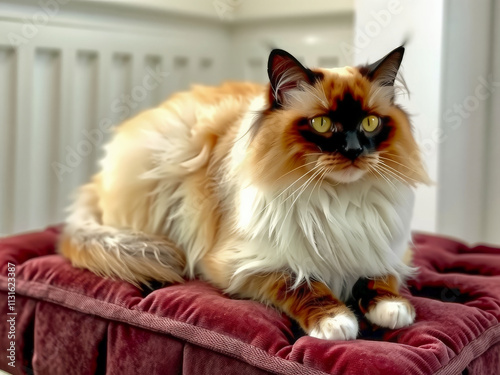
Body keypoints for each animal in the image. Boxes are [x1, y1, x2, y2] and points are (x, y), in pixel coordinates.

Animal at [60, 46, 430, 340]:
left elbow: (381, 278)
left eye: (370, 123)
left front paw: (393, 309)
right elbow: (302, 282)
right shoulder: (244, 264)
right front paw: (337, 321)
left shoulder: (385, 249)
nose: (354, 151)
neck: (337, 201)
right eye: (322, 124)